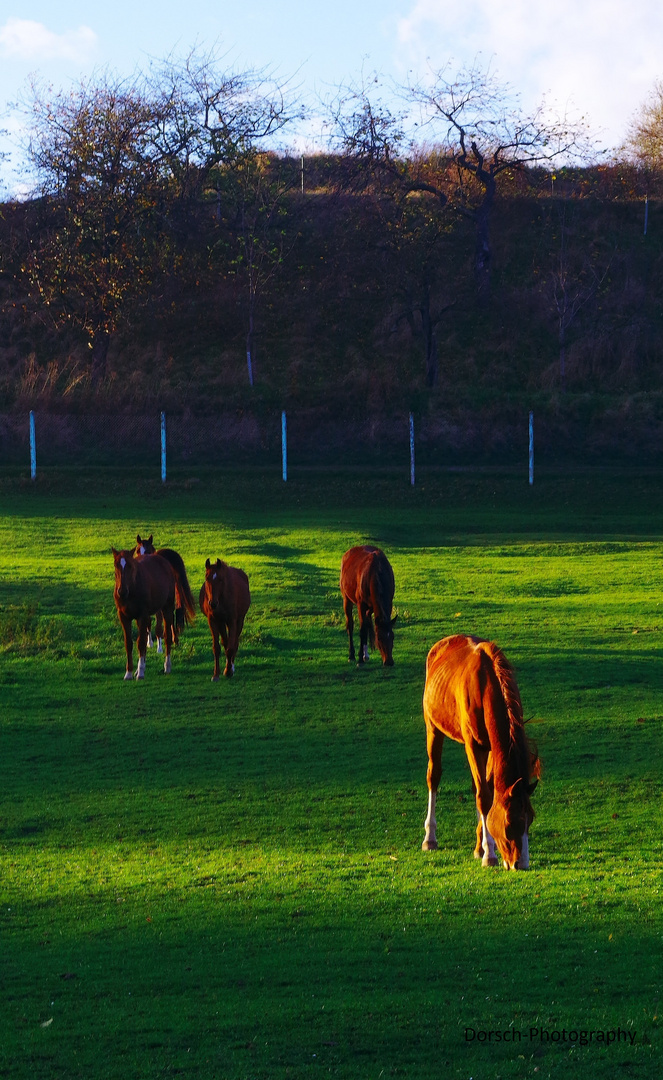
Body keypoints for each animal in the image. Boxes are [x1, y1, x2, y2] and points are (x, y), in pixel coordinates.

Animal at [423, 630, 542, 868]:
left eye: (531, 820)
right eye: (510, 821)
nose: (521, 864)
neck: (486, 685)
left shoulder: (491, 749)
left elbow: (486, 791)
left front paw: (482, 847)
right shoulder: (474, 745)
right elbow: (484, 797)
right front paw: (489, 855)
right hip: (433, 727)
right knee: (434, 776)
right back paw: (430, 838)